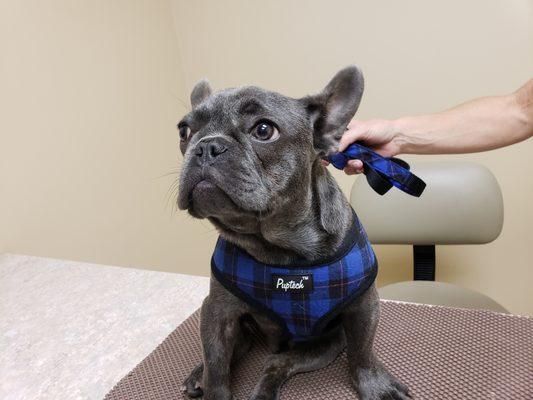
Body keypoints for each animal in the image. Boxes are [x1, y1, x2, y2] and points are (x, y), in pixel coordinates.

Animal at [177, 67, 410, 398]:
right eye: (184, 131)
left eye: (264, 130)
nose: (206, 146)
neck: (280, 247)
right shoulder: (217, 312)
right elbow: (217, 367)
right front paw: (212, 386)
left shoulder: (364, 307)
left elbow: (363, 352)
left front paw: (375, 385)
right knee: (232, 353)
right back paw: (200, 374)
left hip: (324, 345)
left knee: (277, 365)